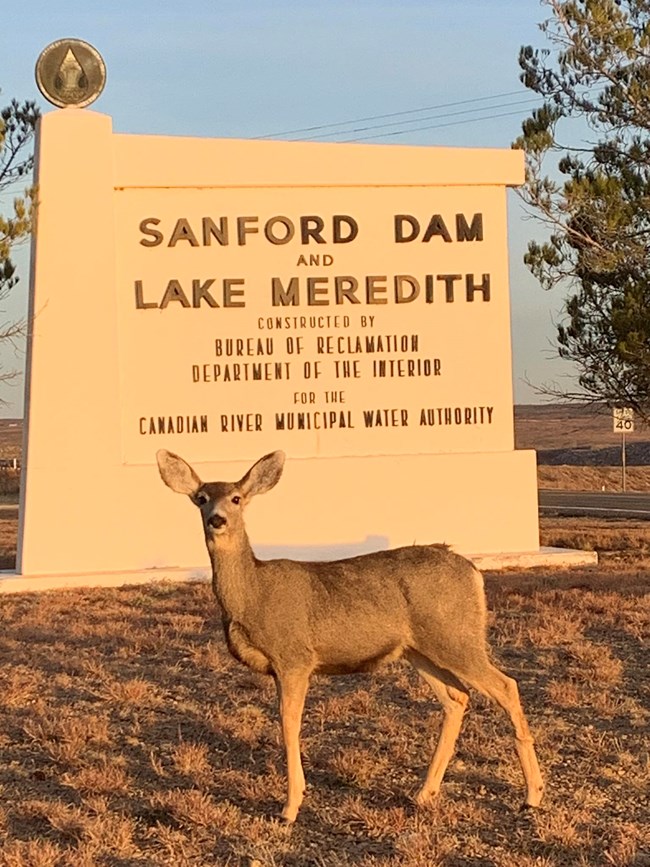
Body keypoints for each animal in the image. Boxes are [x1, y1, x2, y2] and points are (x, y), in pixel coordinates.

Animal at [156, 448, 544, 823]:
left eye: (236, 498)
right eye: (201, 497)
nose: (217, 519)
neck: (253, 596)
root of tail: (473, 572)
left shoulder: (295, 656)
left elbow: (288, 723)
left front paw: (290, 807)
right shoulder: (280, 667)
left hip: (456, 636)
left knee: (506, 686)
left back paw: (532, 796)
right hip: (420, 648)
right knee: (456, 697)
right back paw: (424, 793)